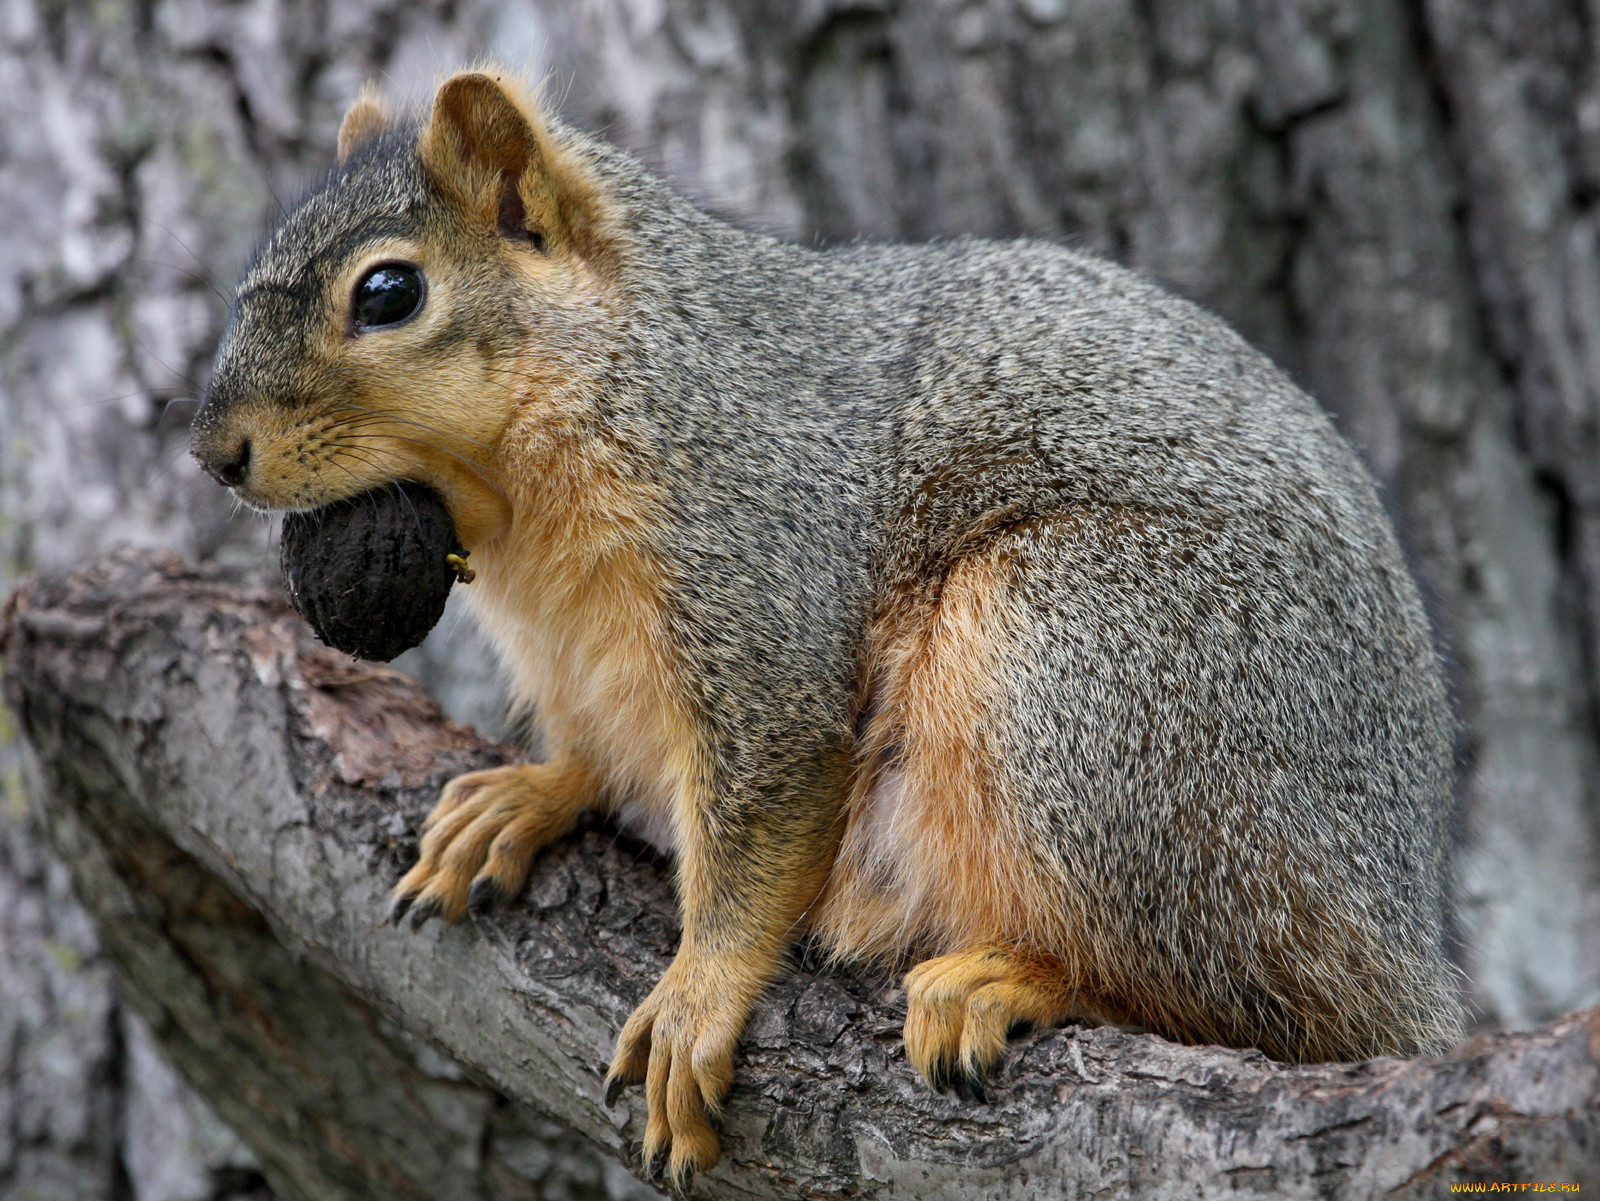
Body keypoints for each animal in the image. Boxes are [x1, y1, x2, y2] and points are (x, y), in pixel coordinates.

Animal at [187, 72, 1465, 1183]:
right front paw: (529, 794)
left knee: (1233, 993)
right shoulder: (575, 656)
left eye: (388, 293)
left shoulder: (755, 574)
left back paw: (1012, 978)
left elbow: (765, 816)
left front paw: (697, 994)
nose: (212, 452)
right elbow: (597, 752)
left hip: (1081, 665)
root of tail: (1397, 927)